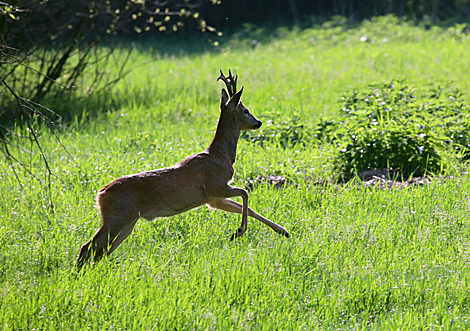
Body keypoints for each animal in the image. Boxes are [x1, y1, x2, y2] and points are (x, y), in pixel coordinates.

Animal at [75, 69, 290, 272]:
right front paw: (238, 232)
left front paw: (283, 231)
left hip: (127, 222)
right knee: (88, 247)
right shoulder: (215, 186)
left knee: (100, 252)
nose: (258, 122)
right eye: (245, 110)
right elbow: (245, 193)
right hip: (118, 217)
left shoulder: (212, 199)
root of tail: (100, 194)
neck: (220, 156)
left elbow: (248, 206)